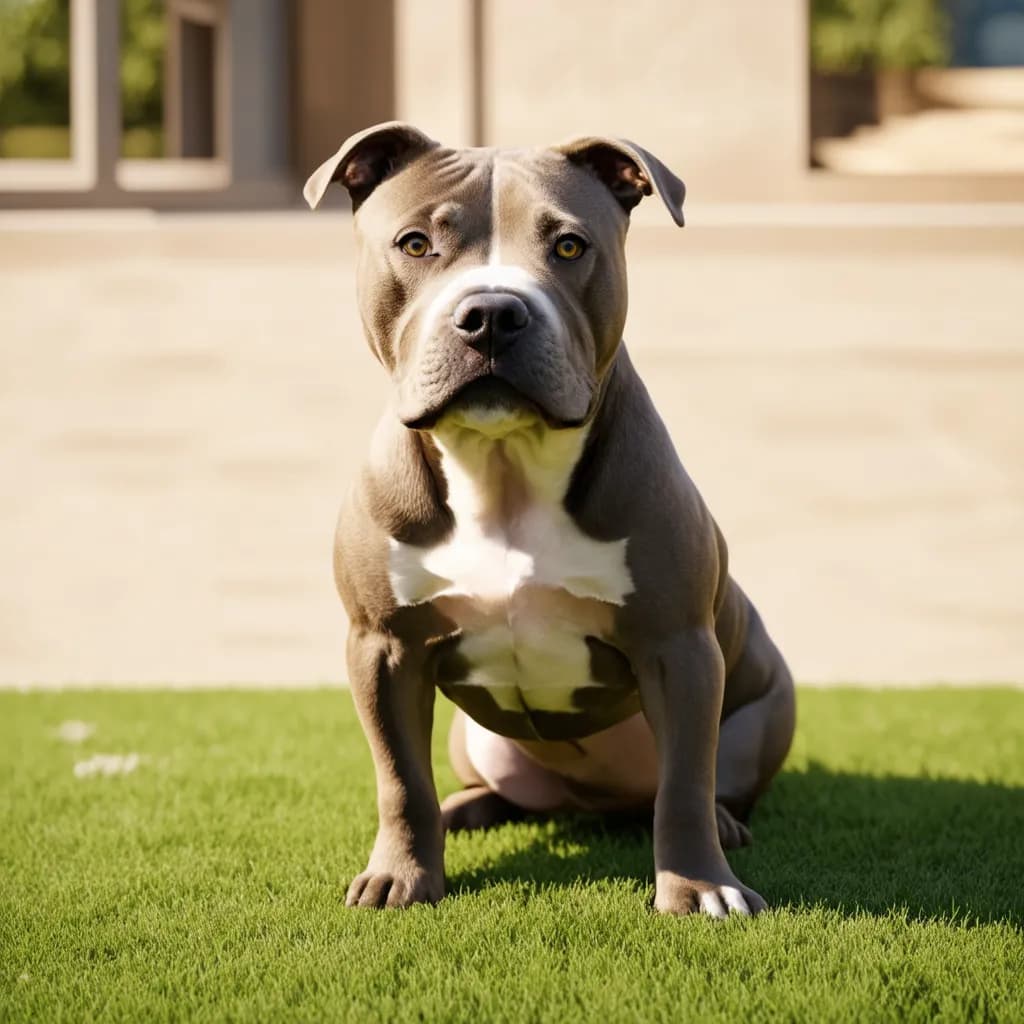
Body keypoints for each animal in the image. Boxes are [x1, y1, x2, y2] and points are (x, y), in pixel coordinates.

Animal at [299, 121, 794, 921]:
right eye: (415, 243)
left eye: (568, 246)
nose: (492, 313)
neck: (504, 470)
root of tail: (587, 800)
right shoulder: (382, 648)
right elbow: (400, 779)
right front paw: (401, 874)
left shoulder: (681, 647)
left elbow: (686, 784)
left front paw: (699, 886)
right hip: (473, 738)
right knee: (490, 792)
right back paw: (464, 809)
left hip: (766, 706)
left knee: (703, 782)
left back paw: (725, 822)